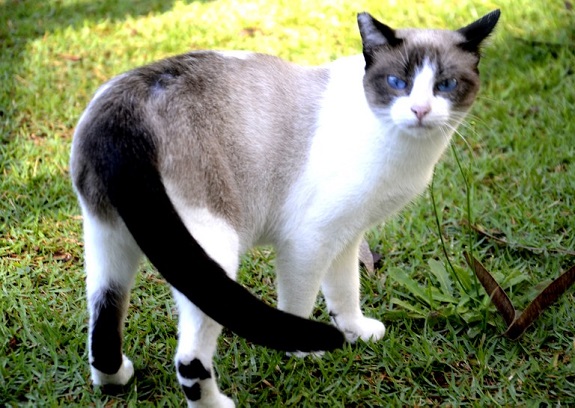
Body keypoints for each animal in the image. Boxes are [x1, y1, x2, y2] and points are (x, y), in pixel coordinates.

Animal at [68, 9, 500, 408]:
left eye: (445, 85)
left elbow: (345, 291)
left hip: (110, 241)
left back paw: (116, 380)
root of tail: (123, 112)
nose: (421, 111)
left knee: (103, 322)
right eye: (398, 83)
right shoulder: (309, 239)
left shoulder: (346, 235)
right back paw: (218, 404)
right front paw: (304, 352)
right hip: (212, 249)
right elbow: (299, 303)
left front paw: (356, 332)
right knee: (189, 359)